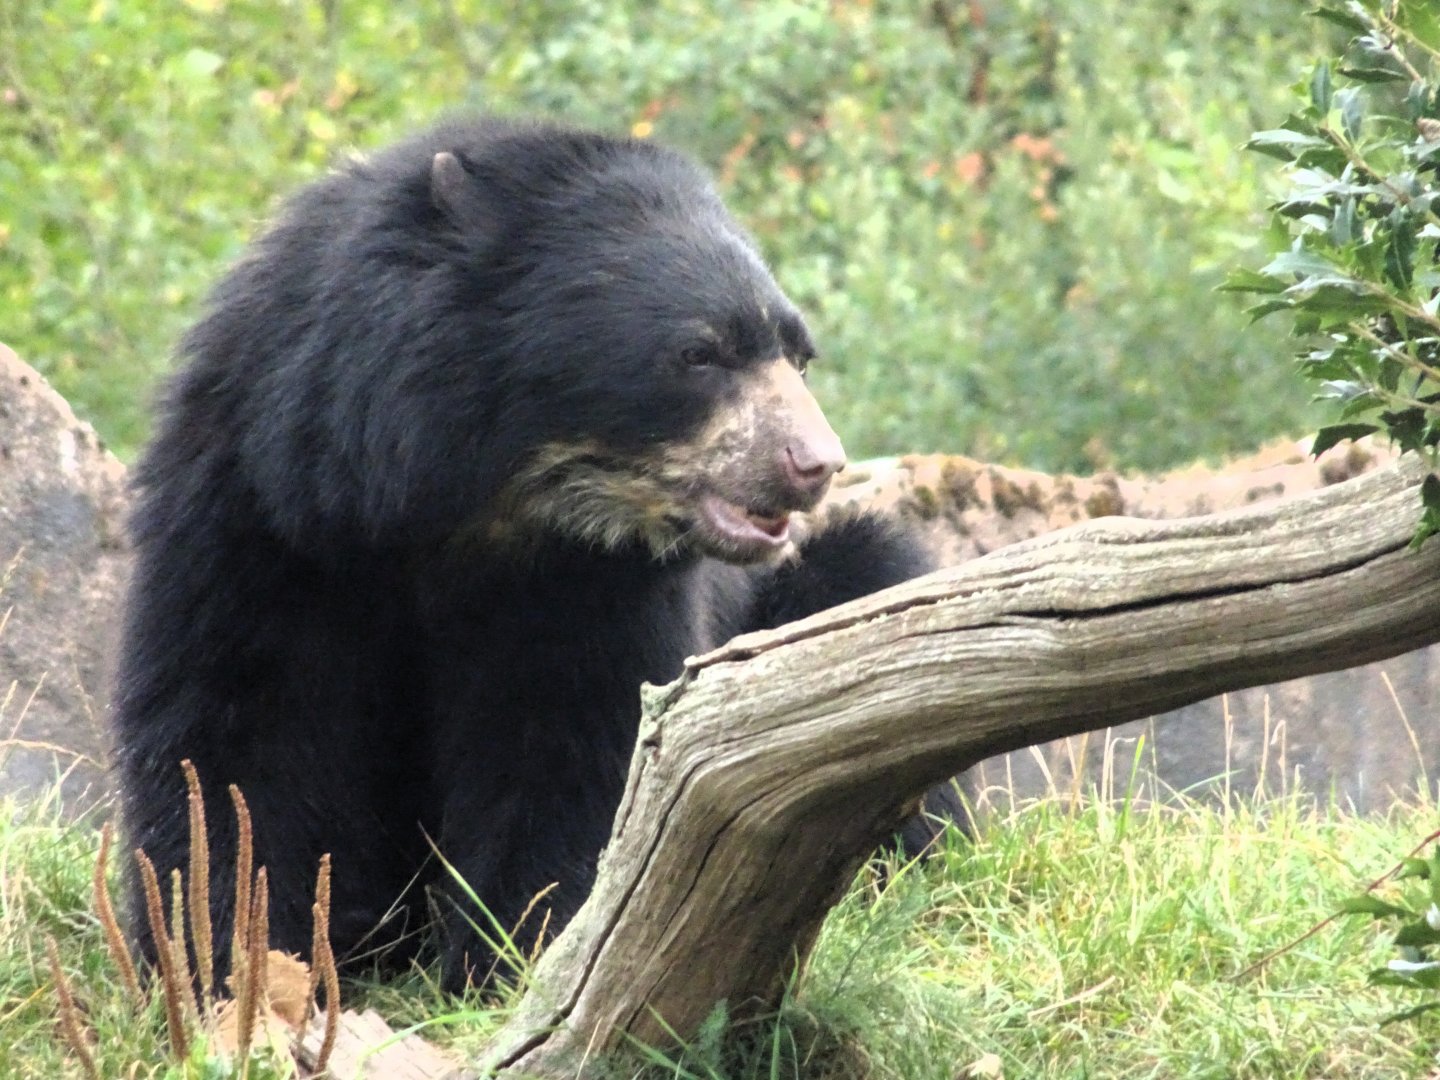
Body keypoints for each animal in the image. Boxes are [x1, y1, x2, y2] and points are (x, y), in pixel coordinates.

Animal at [113, 115, 933, 992]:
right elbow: (240, 725)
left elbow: (569, 737)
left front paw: (515, 952)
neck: (466, 503)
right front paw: (225, 956)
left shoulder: (590, 582)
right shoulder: (261, 510)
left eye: (797, 355)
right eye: (701, 353)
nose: (815, 464)